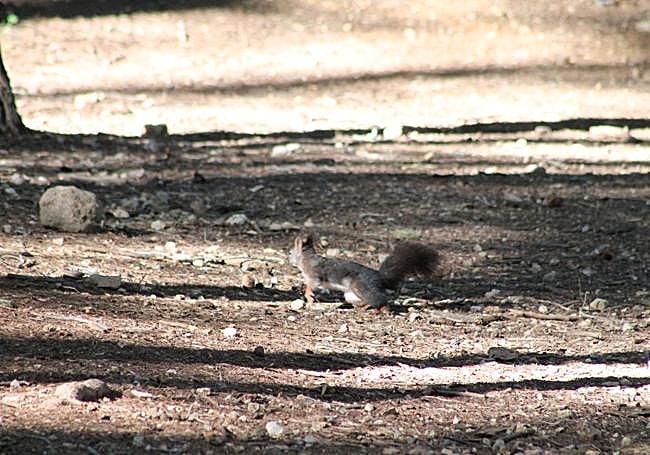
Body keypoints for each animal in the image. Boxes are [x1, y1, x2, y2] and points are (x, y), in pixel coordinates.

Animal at [288, 232, 440, 312]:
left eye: (290, 252)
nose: (288, 260)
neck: (306, 259)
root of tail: (379, 277)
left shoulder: (314, 274)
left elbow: (312, 284)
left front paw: (308, 294)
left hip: (362, 287)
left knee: (380, 299)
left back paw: (382, 310)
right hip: (351, 295)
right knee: (367, 302)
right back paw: (361, 308)